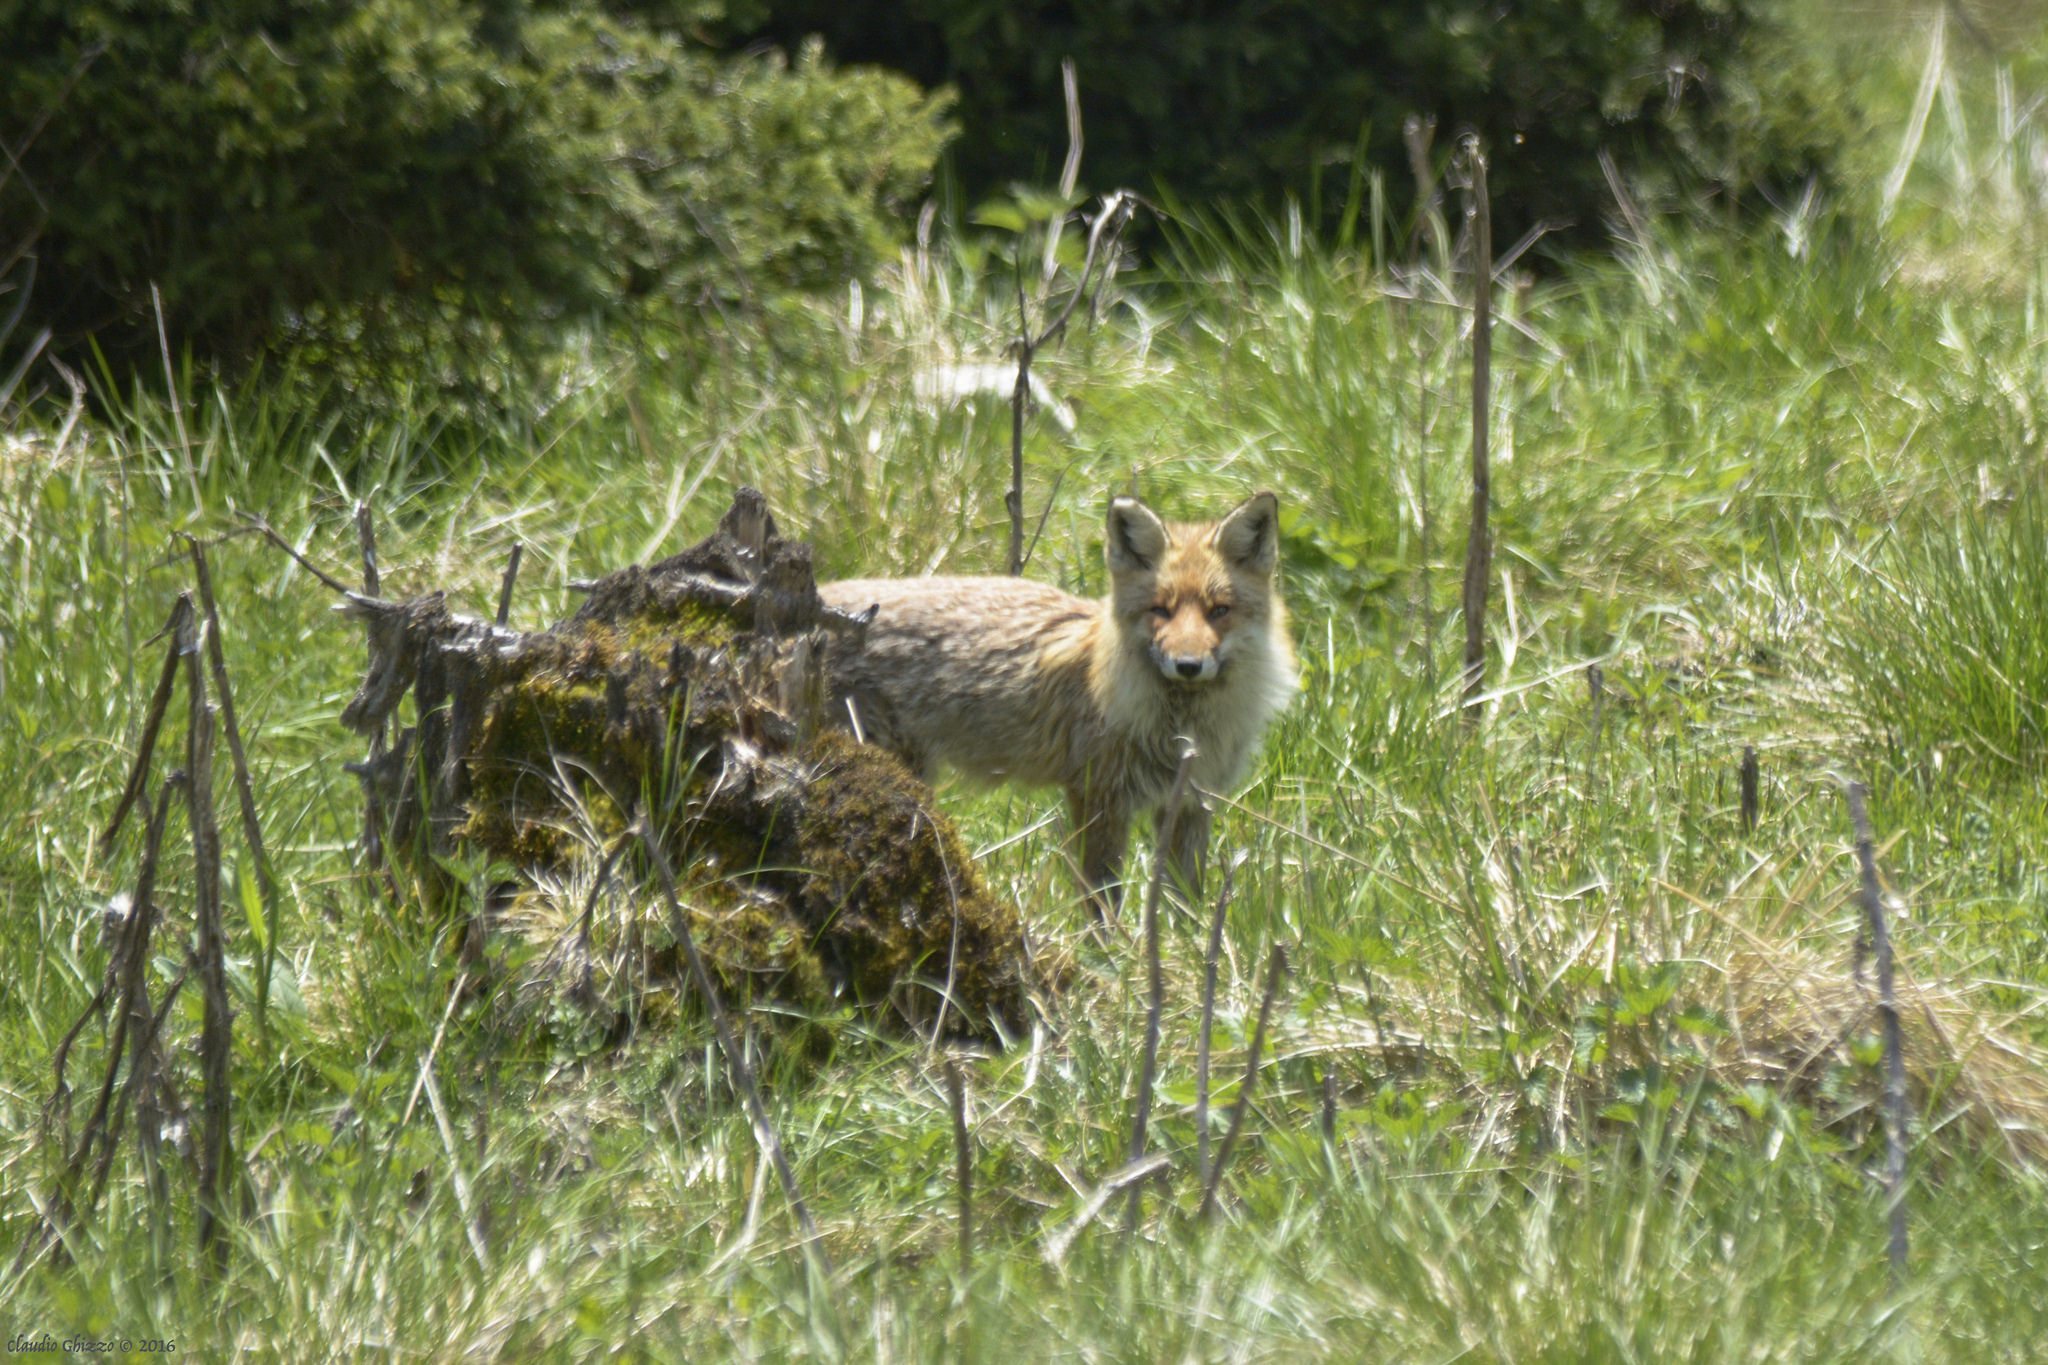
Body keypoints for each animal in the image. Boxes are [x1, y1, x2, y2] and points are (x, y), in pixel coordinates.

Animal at [818, 491, 1297, 915]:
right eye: (1161, 610)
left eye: (1219, 611)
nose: (1188, 665)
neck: (1182, 727)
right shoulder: (1098, 794)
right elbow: (1103, 900)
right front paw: (1109, 957)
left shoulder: (1192, 801)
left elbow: (1186, 904)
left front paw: (1184, 951)